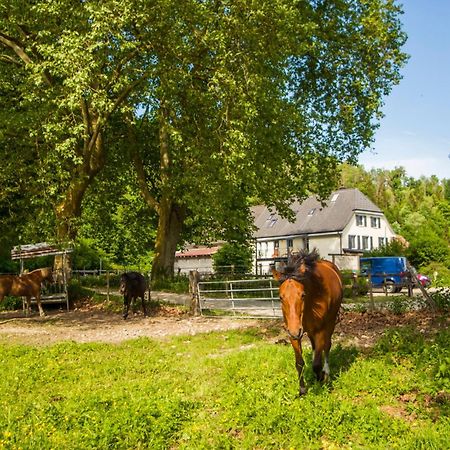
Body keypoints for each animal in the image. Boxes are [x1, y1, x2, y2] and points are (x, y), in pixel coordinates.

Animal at [272, 251, 342, 396]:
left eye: (302, 295)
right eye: (281, 297)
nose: (295, 331)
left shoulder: (320, 330)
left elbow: (317, 364)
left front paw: (320, 379)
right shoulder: (292, 333)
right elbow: (299, 362)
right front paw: (302, 389)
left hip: (330, 322)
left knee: (327, 346)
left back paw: (326, 372)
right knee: (315, 346)